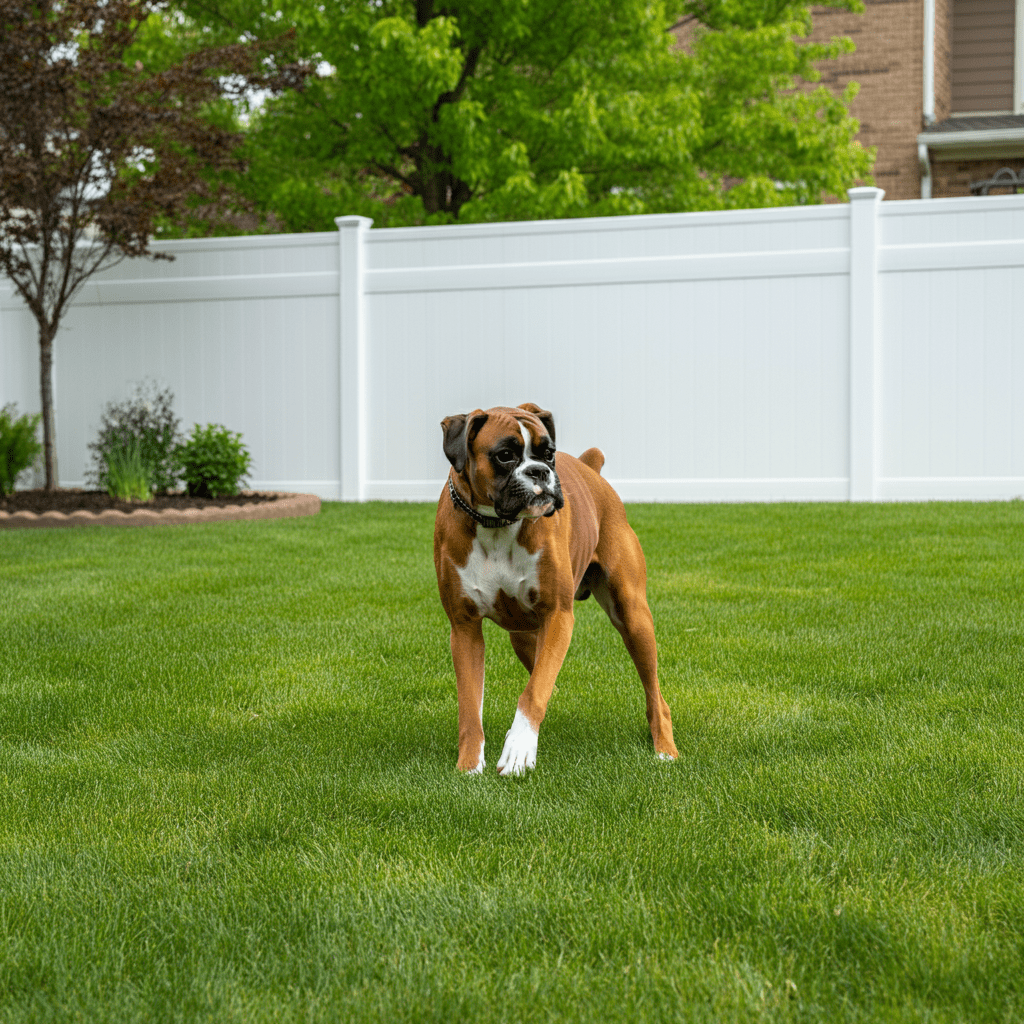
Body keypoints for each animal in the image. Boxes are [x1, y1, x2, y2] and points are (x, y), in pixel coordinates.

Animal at [434, 403, 679, 770]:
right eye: (504, 455)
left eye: (548, 453)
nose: (540, 472)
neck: (496, 525)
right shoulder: (465, 629)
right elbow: (470, 704)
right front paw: (469, 766)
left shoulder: (558, 616)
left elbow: (534, 692)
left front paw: (519, 749)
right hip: (523, 636)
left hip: (633, 617)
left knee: (655, 695)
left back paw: (664, 749)